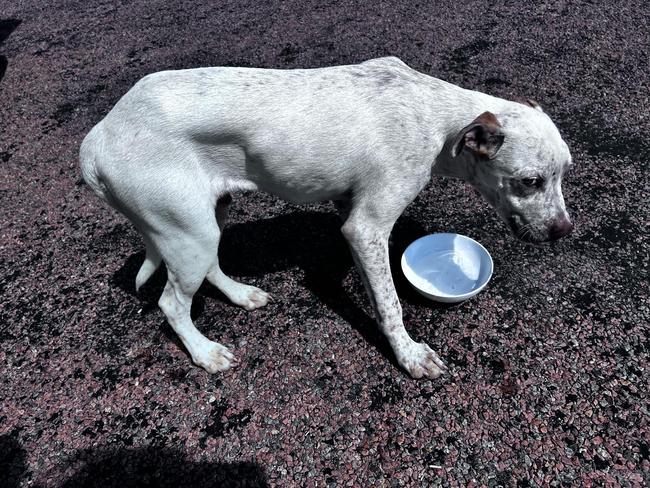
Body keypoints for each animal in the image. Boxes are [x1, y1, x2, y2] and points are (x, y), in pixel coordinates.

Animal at [78, 56, 568, 378]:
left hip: (204, 221)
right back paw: (204, 353)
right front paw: (409, 355)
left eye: (564, 173)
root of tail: (96, 139)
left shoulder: (349, 209)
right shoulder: (365, 227)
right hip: (186, 231)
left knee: (210, 268)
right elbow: (389, 304)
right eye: (529, 181)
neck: (435, 118)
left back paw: (242, 295)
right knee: (171, 304)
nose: (564, 231)